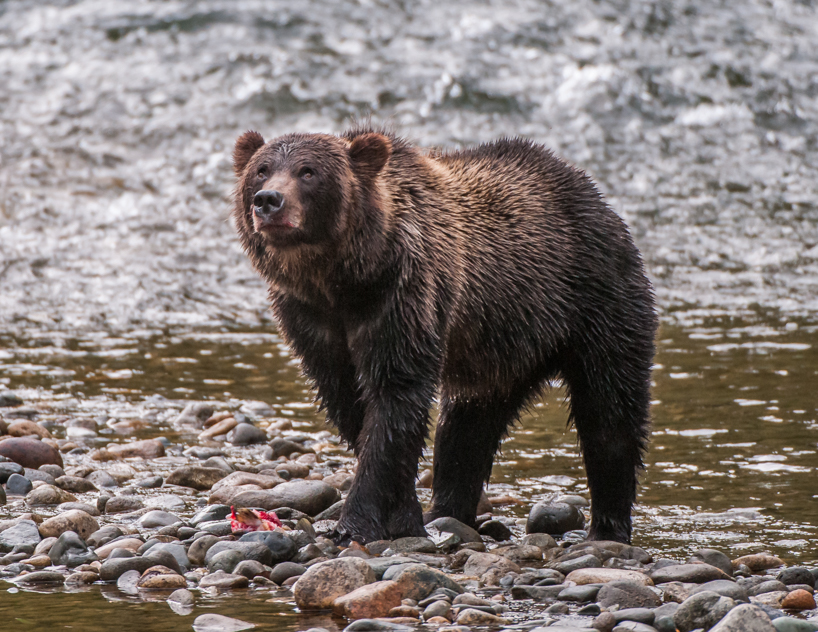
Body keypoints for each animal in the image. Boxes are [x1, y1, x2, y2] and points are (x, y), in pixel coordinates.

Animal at [231, 126, 657, 545]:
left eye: (308, 171)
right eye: (262, 169)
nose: (268, 201)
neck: (340, 279)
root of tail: (593, 194)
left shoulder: (402, 296)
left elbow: (394, 399)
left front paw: (355, 523)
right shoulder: (311, 319)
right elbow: (350, 404)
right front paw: (404, 514)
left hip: (596, 302)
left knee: (609, 415)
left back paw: (608, 527)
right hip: (500, 347)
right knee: (466, 429)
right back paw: (447, 511)